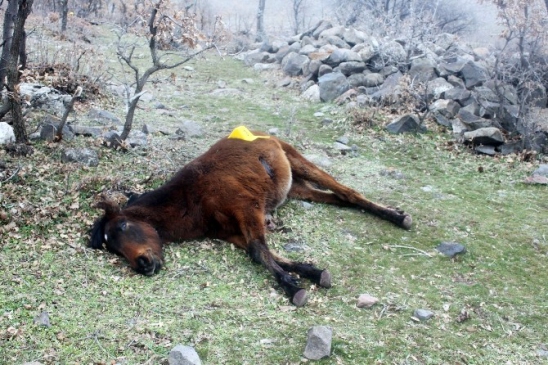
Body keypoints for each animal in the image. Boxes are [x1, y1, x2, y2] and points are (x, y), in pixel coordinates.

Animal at [90, 127, 412, 304]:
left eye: (124, 226)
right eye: (112, 248)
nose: (143, 265)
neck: (193, 198)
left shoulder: (248, 209)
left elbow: (258, 251)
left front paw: (292, 288)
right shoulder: (234, 231)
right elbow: (268, 254)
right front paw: (310, 272)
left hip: (297, 160)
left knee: (348, 193)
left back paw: (397, 217)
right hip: (296, 188)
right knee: (339, 199)